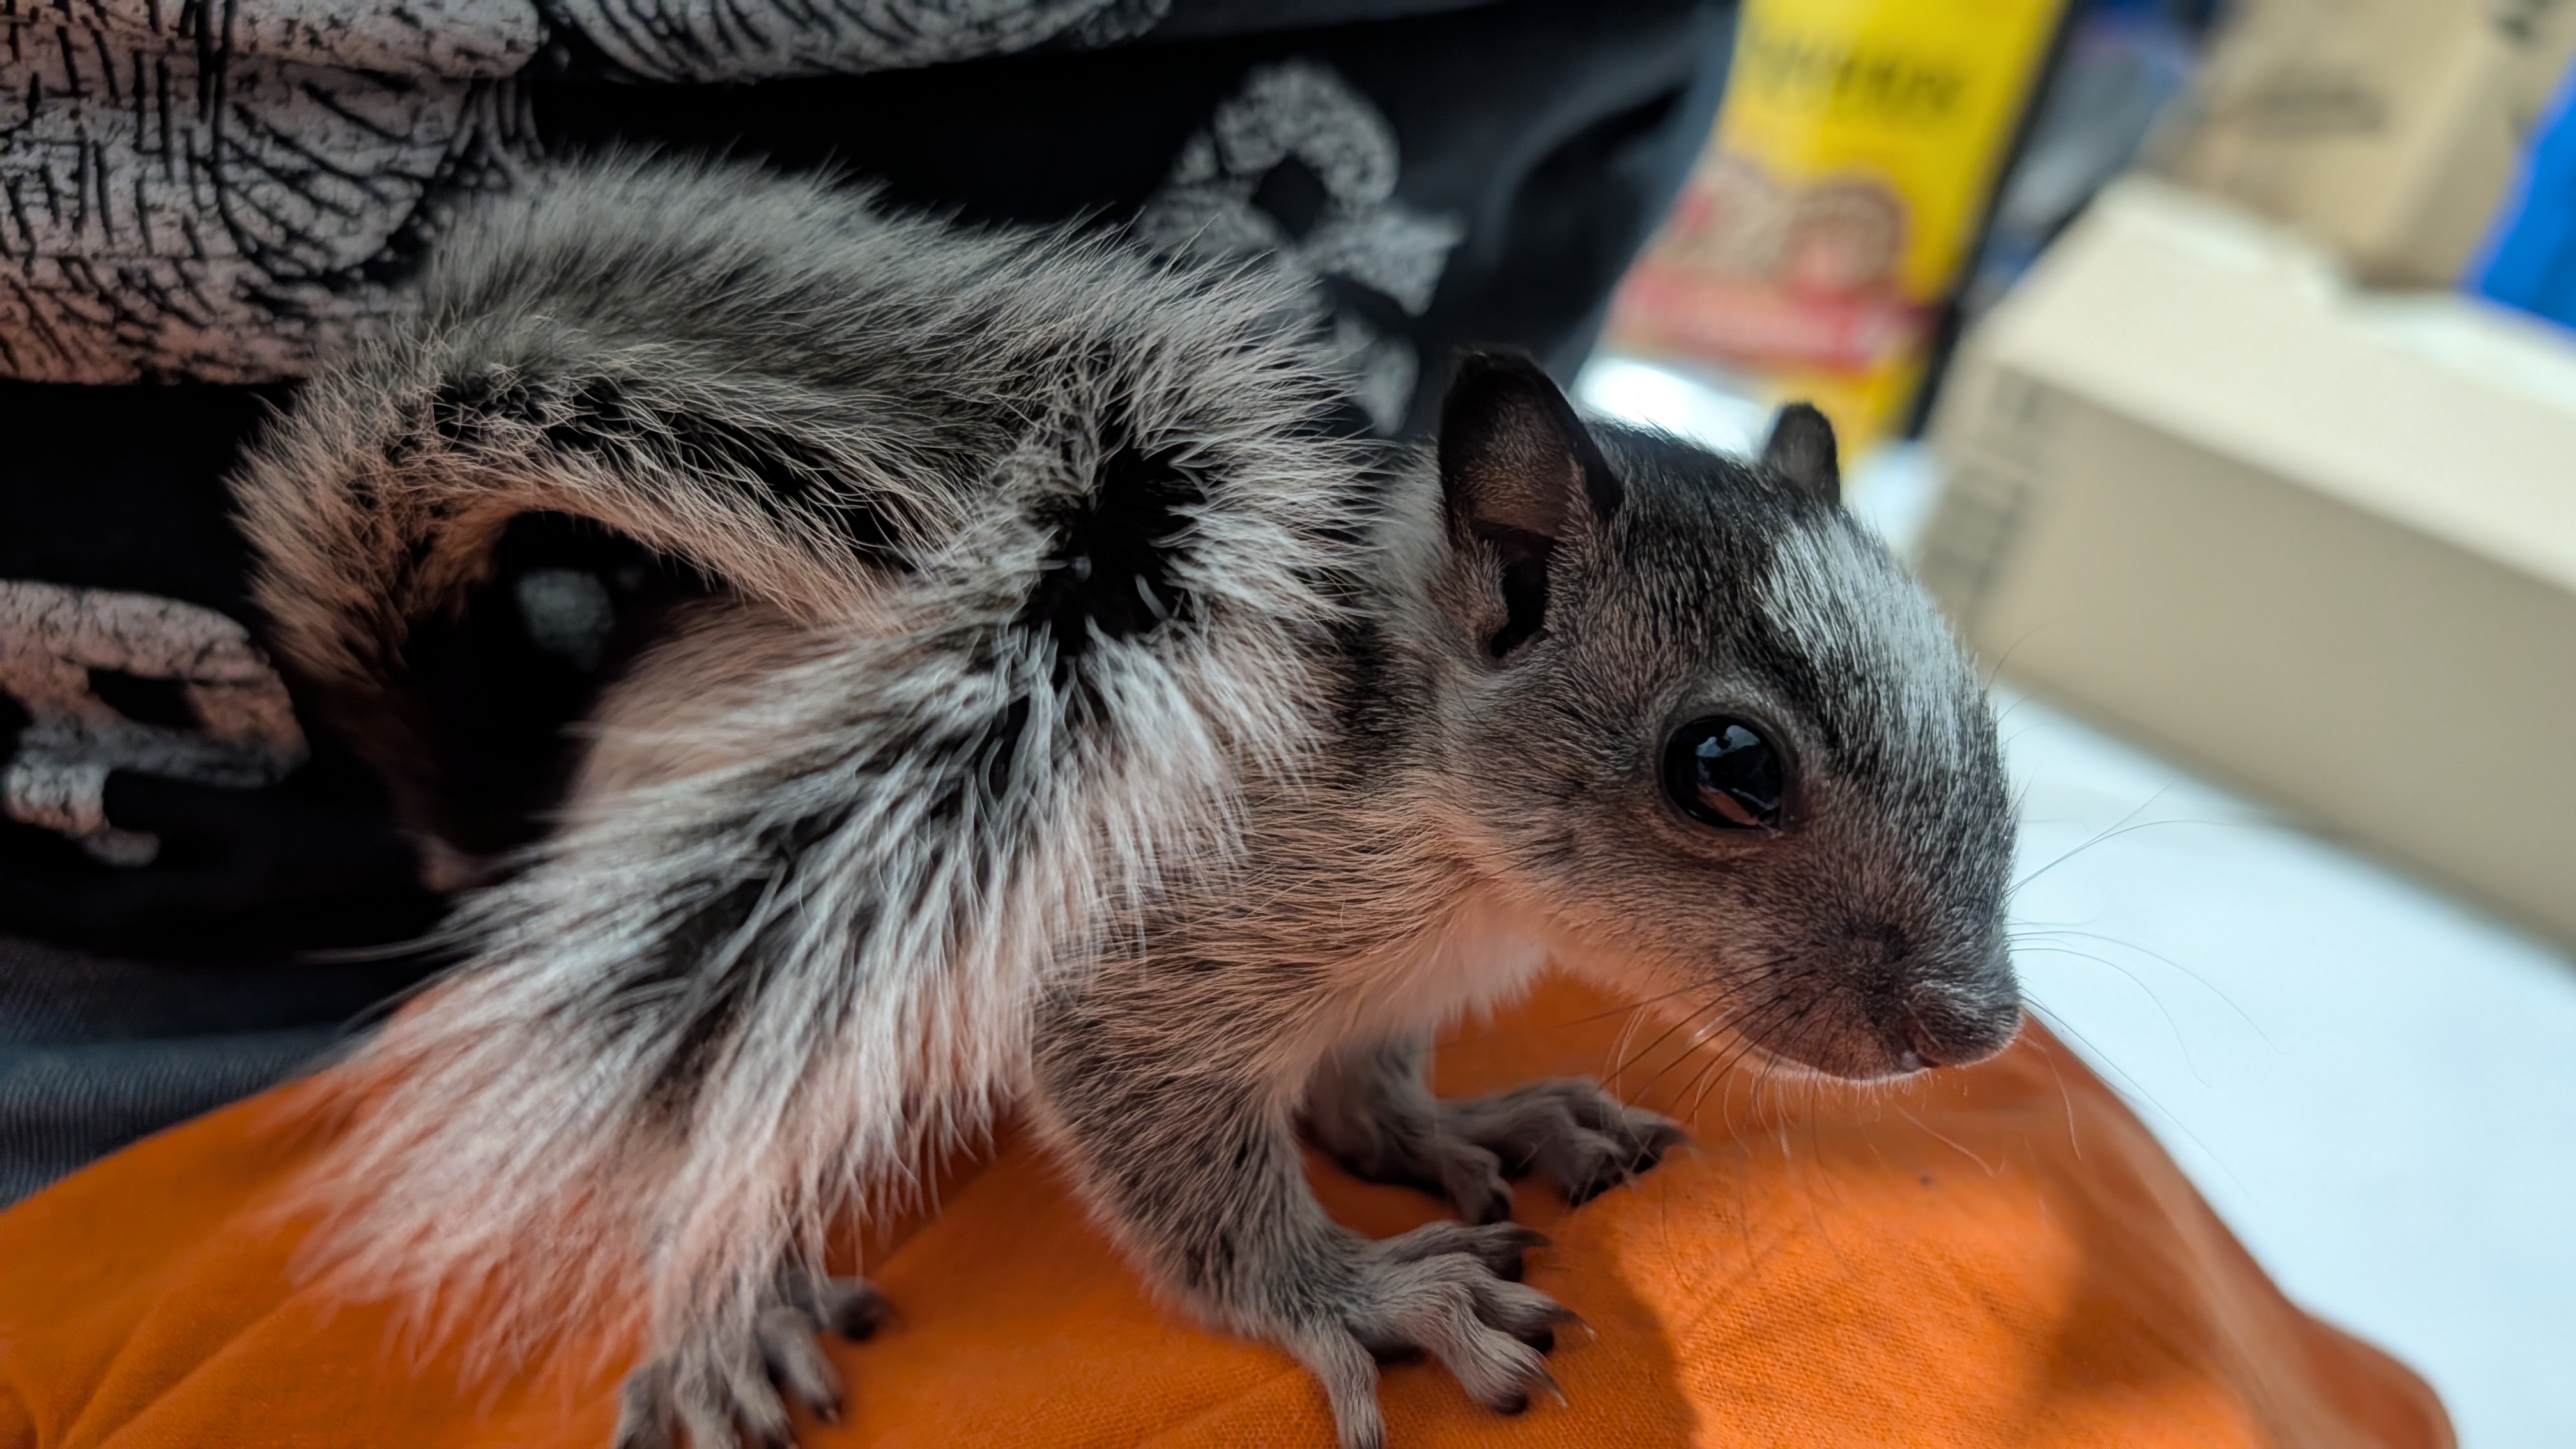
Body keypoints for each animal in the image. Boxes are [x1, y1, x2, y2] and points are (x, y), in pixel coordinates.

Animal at [231, 154, 2021, 1449]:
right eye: (1728, 766)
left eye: (1982, 694)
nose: (1982, 1025)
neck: (1463, 869)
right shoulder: (1132, 945)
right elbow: (1185, 1164)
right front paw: (1355, 1296)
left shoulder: (1385, 991)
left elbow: (1371, 1085)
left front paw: (1470, 1125)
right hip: (759, 958)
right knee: (692, 1166)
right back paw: (727, 1318)